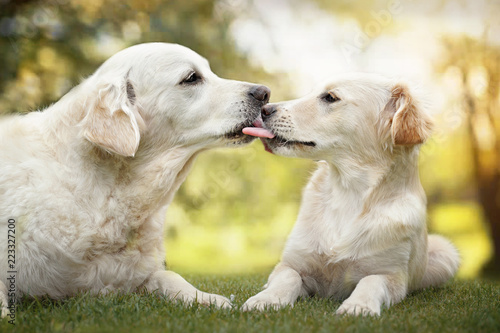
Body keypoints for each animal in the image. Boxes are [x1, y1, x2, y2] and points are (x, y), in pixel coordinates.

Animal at [243, 74, 460, 316]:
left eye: (330, 97)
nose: (264, 108)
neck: (347, 191)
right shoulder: (292, 264)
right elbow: (287, 277)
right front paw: (266, 299)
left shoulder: (391, 275)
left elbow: (371, 282)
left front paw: (358, 305)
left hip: (445, 252)